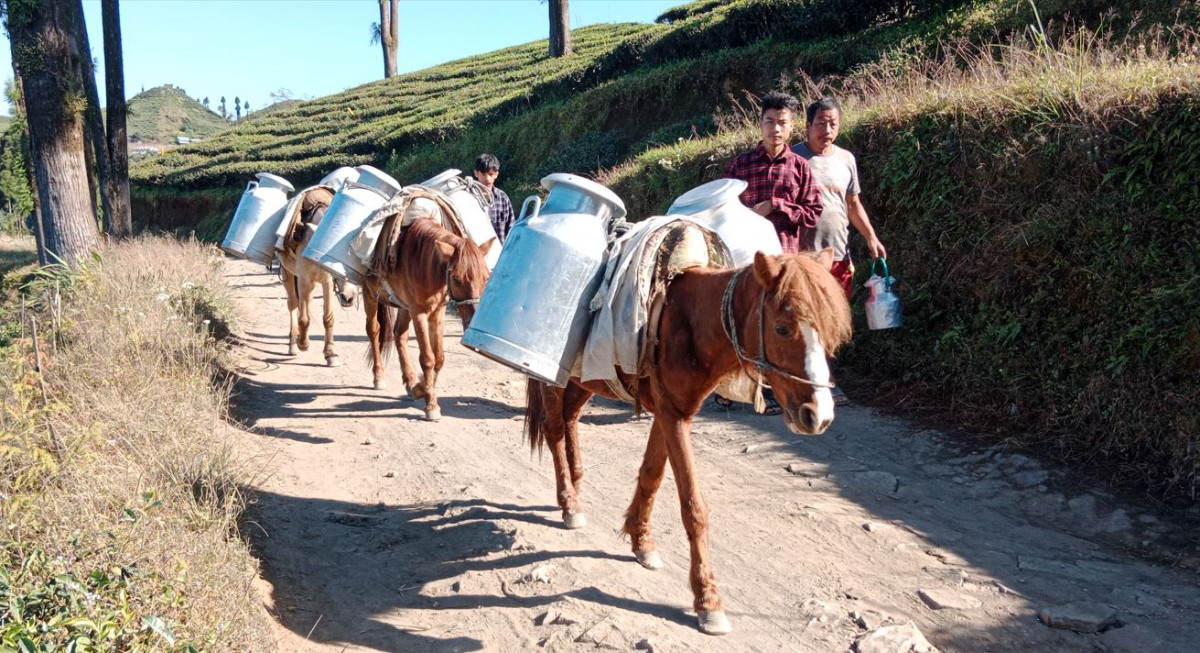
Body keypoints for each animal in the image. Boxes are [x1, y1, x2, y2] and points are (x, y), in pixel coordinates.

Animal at [276, 187, 355, 367]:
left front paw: (331, 354)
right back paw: (293, 343)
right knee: (293, 304)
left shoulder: (327, 282)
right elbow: (304, 318)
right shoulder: (304, 279)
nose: (349, 298)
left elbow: (328, 318)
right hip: (288, 274)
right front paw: (303, 344)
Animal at [360, 217, 492, 420]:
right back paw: (379, 376)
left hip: (403, 306)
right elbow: (428, 358)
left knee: (399, 335)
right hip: (370, 294)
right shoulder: (419, 313)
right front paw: (431, 405)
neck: (426, 265)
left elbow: (439, 358)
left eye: (486, 278)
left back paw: (410, 380)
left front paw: (420, 388)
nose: (472, 321)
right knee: (374, 331)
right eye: (456, 279)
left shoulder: (436, 313)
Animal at [525, 248, 854, 633]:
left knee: (570, 419)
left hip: (586, 380)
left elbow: (651, 475)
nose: (819, 415)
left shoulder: (672, 412)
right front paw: (708, 600)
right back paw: (569, 504)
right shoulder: (673, 416)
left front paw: (641, 541)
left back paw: (575, 487)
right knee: (554, 429)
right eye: (782, 328)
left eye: (829, 331)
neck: (691, 321)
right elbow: (693, 507)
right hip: (552, 377)